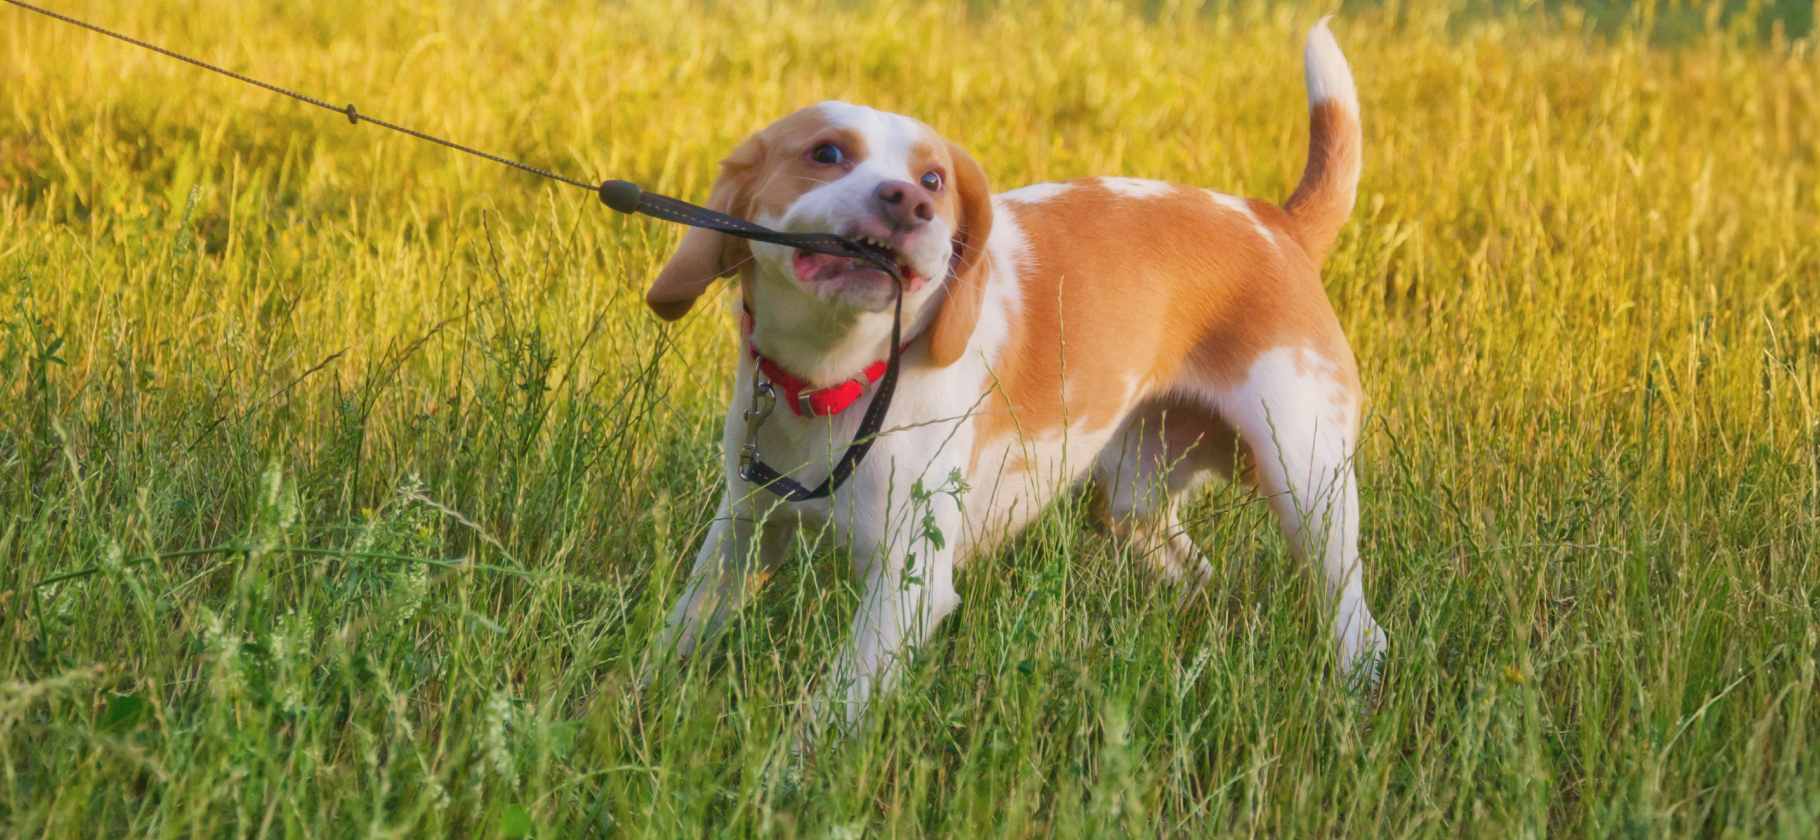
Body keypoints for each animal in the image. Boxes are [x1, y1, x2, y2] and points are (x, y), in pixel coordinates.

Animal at [647, 16, 1383, 730]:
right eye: (826, 154)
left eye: (935, 180)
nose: (909, 201)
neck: (835, 379)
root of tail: (1273, 221)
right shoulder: (741, 533)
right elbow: (675, 636)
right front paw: (636, 708)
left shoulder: (906, 588)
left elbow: (822, 718)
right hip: (1132, 499)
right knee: (1193, 570)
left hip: (1306, 487)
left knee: (1358, 621)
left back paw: (1356, 697)